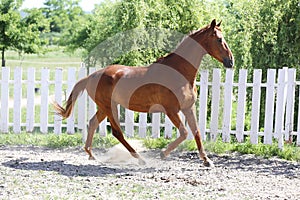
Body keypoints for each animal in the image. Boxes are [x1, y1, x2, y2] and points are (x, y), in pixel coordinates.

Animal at [53, 19, 234, 167]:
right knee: (117, 132)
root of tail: (91, 76)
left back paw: (91, 154)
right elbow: (184, 132)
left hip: (104, 107)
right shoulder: (171, 110)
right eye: (219, 39)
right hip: (109, 107)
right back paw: (140, 159)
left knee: (92, 123)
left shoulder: (188, 108)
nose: (230, 61)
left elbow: (196, 132)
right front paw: (163, 154)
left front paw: (206, 160)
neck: (179, 72)